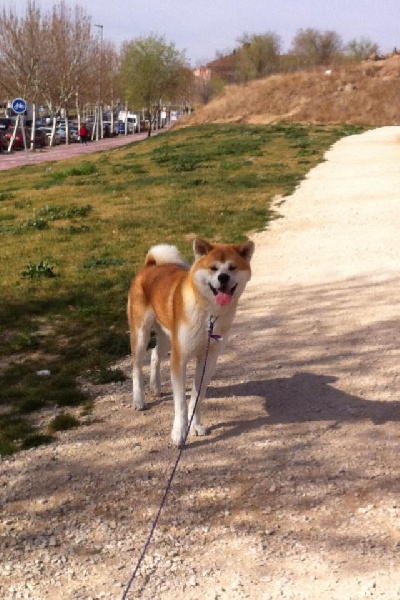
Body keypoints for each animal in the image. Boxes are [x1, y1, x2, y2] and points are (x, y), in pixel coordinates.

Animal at [127, 238, 254, 447]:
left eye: (232, 267)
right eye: (213, 268)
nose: (223, 277)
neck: (209, 314)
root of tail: (150, 265)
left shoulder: (208, 359)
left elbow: (196, 398)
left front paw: (195, 426)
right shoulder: (179, 359)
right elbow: (181, 404)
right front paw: (179, 434)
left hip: (167, 337)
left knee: (154, 354)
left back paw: (156, 387)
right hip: (141, 334)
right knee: (137, 368)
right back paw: (139, 400)